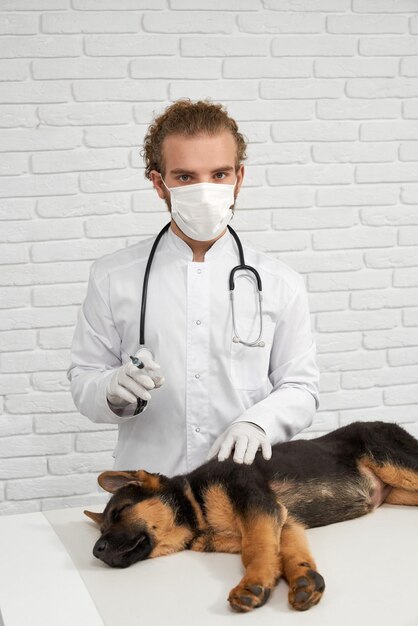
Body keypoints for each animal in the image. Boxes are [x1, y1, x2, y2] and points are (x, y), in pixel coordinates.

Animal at [83, 420, 416, 608]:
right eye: (102, 530)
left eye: (122, 511)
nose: (96, 551)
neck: (196, 510)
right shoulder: (283, 521)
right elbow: (285, 552)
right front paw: (304, 579)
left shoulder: (256, 504)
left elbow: (255, 549)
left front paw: (253, 583)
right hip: (401, 491)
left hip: (394, 463)